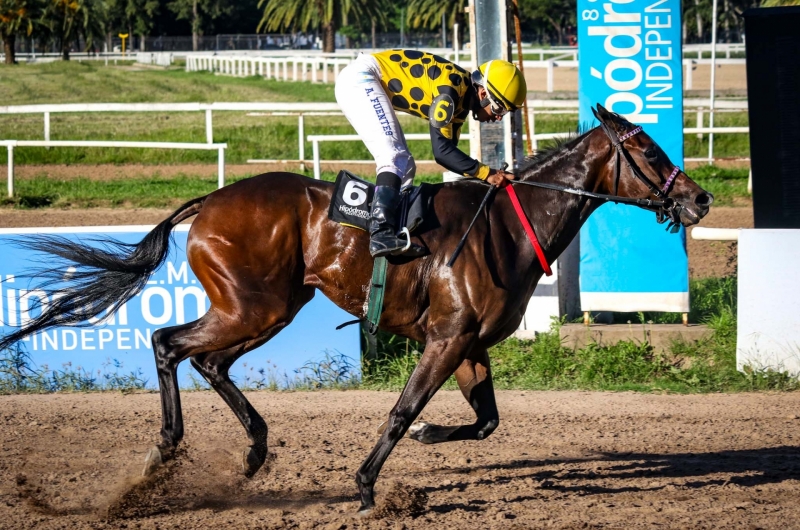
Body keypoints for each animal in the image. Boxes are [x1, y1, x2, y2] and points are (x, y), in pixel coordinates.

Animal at [0, 104, 712, 512]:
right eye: (649, 152)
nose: (700, 199)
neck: (508, 226)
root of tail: (211, 201)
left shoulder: (470, 344)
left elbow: (484, 423)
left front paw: (431, 438)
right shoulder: (446, 339)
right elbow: (401, 411)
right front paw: (369, 483)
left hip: (270, 308)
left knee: (208, 363)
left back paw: (251, 452)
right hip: (251, 307)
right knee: (169, 343)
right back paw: (164, 454)